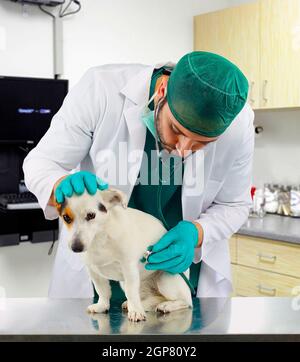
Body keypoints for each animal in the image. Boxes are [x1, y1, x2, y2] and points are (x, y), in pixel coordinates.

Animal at [56, 188, 192, 320]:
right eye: (66, 217)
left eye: (91, 215)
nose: (76, 247)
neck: (100, 238)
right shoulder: (94, 271)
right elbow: (102, 291)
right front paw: (102, 306)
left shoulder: (129, 267)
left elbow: (131, 292)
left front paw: (136, 312)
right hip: (129, 284)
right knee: (155, 298)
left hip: (166, 279)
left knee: (187, 301)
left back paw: (167, 305)